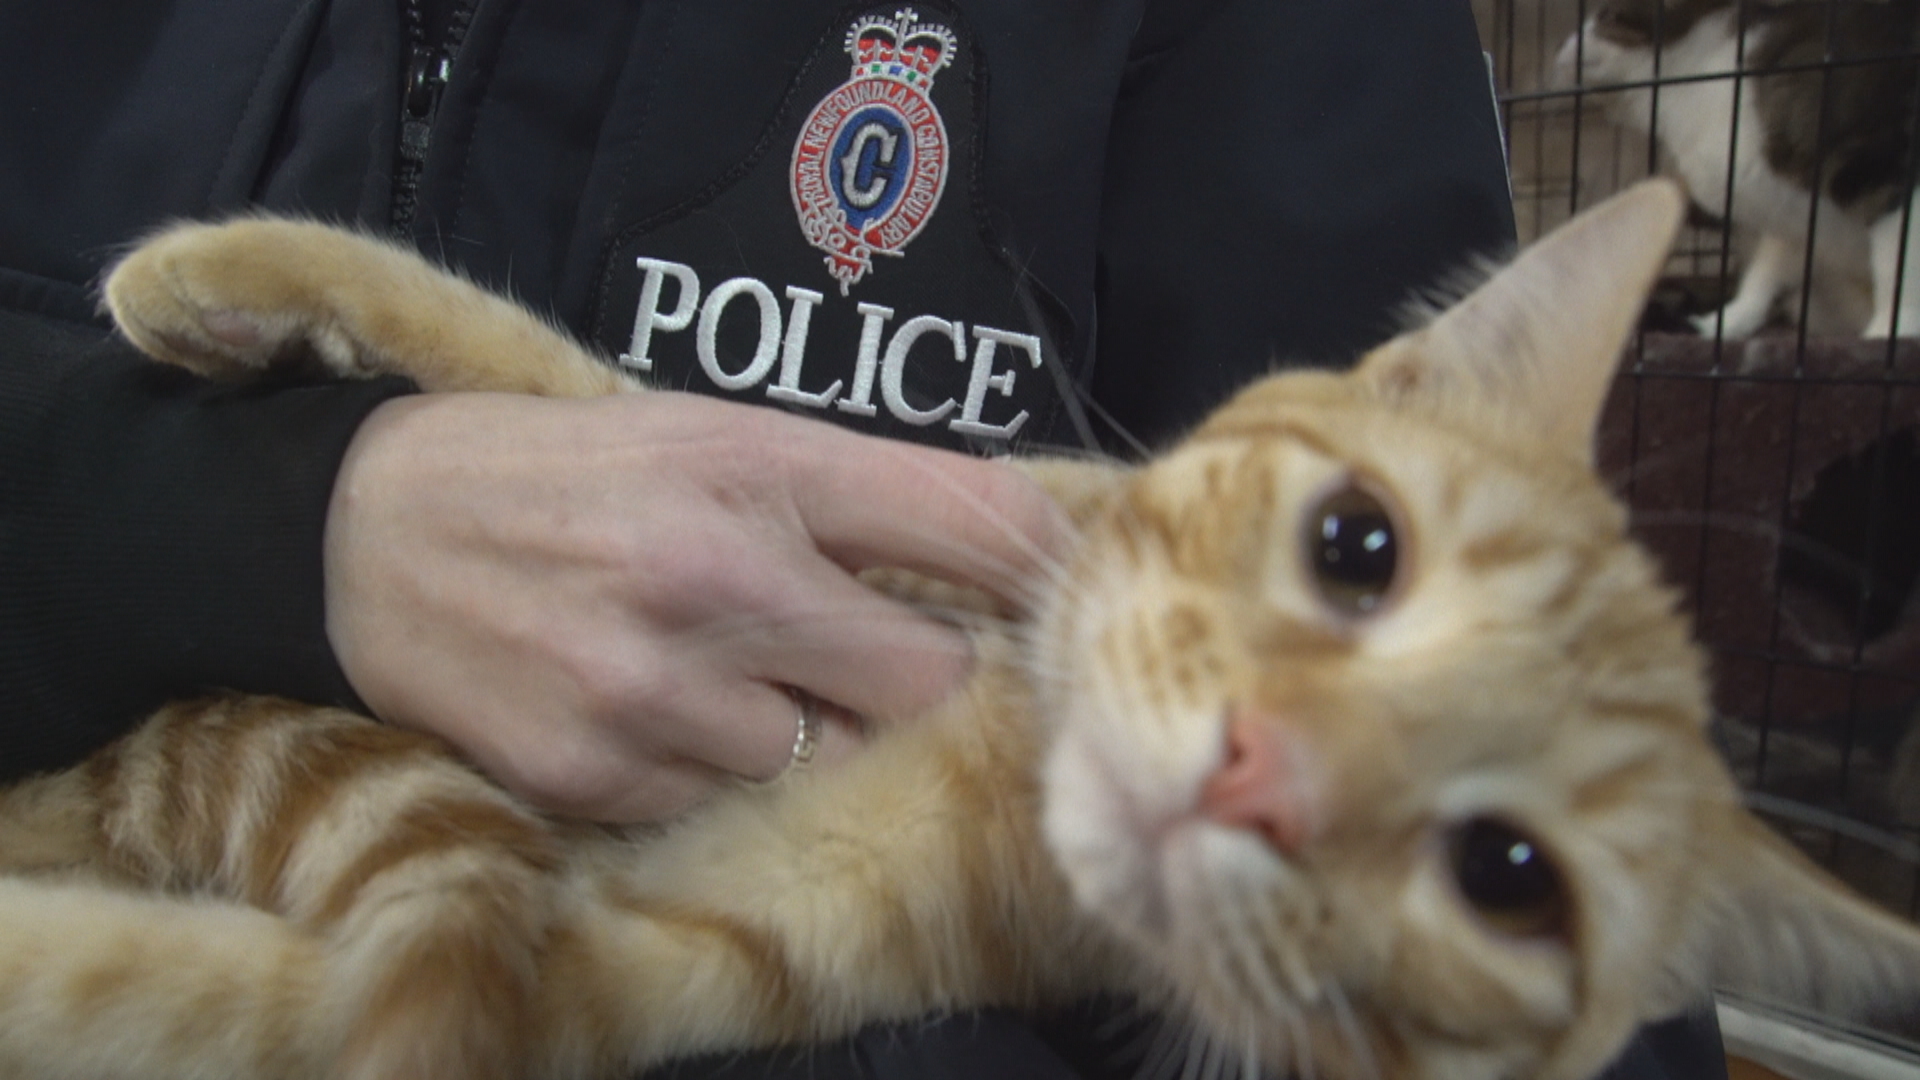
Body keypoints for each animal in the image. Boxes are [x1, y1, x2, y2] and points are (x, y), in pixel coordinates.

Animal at [7, 180, 1912, 1076]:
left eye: (1507, 877)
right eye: (1357, 549)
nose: (1259, 773)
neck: (1017, 737)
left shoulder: (632, 963)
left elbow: (191, 997)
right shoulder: (845, 496)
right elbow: (547, 368)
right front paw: (221, 276)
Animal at [1559, 0, 1920, 336]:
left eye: (1607, 15)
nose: (1565, 44)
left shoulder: (1883, 163)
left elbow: (1897, 263)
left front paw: (1889, 332)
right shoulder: (1789, 214)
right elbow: (1767, 272)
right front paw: (1724, 323)